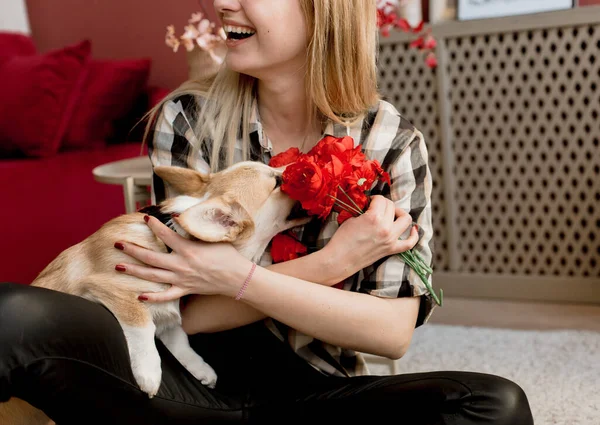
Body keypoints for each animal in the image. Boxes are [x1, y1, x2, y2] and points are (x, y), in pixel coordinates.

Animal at [0, 160, 308, 424]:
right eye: (277, 182)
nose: (303, 161)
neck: (171, 244)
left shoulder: (168, 311)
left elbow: (179, 339)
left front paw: (201, 369)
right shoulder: (112, 289)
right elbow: (143, 326)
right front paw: (149, 372)